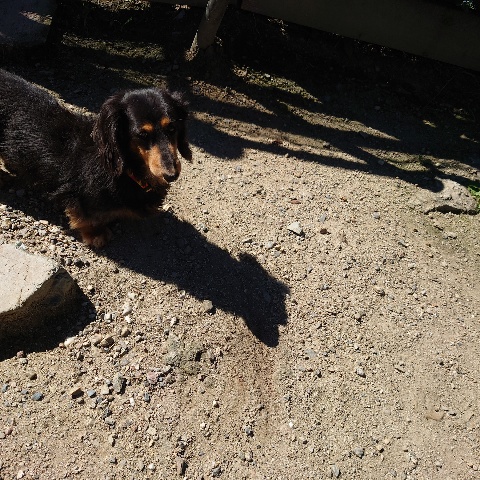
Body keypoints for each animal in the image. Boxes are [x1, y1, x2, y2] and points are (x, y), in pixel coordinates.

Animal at [0, 69, 192, 248]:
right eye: (142, 134)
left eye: (172, 128)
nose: (171, 175)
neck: (127, 170)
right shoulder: (77, 196)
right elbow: (88, 217)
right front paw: (96, 234)